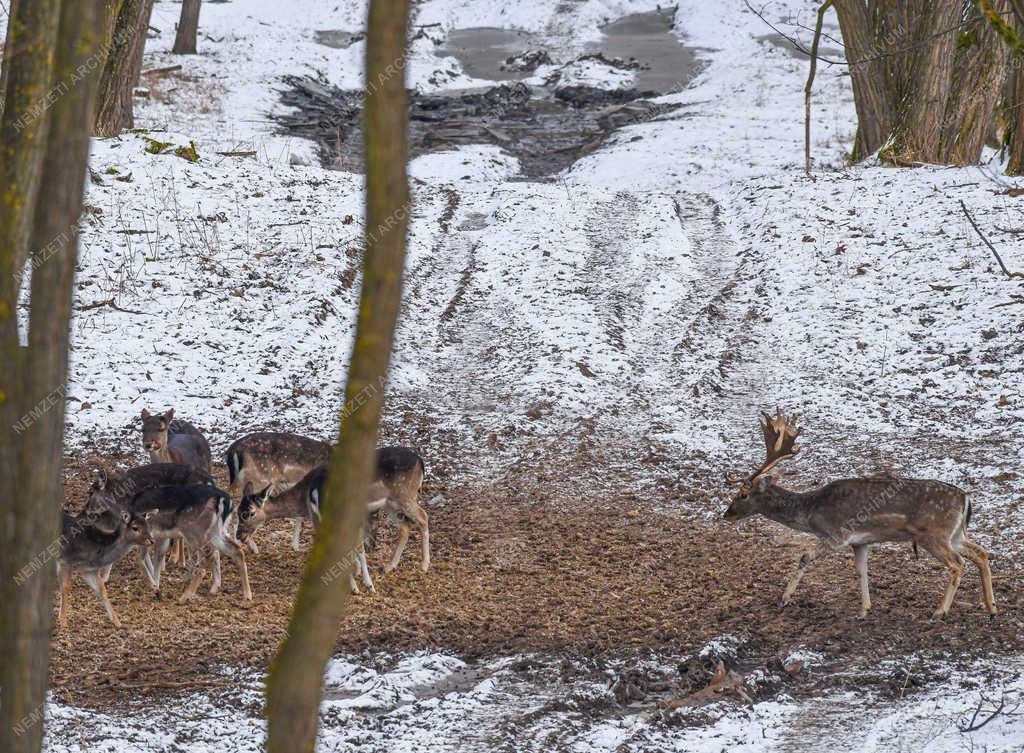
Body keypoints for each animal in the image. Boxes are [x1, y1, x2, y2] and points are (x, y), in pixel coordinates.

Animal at [724, 409, 995, 622]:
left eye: (743, 494)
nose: (727, 514)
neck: (812, 512)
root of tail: (965, 499)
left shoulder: (836, 534)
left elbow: (804, 556)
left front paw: (784, 598)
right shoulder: (860, 542)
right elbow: (861, 570)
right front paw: (864, 610)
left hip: (934, 534)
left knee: (958, 564)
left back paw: (939, 612)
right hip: (955, 534)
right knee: (980, 553)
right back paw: (992, 609)